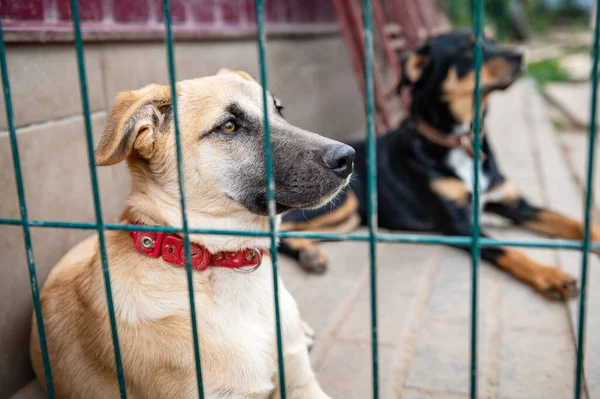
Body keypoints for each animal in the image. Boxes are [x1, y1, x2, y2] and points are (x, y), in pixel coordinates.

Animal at [278, 30, 596, 300]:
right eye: (468, 49)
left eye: (492, 40)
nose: (520, 55)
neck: (461, 141)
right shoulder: (460, 224)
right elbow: (508, 250)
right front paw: (551, 275)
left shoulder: (515, 203)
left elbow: (574, 222)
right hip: (346, 202)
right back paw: (308, 254)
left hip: (350, 218)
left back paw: (309, 252)